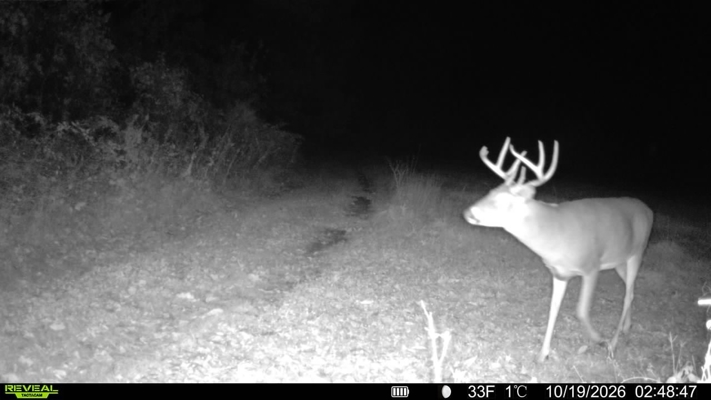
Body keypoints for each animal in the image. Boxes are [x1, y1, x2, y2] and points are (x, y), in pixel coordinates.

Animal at [463, 137, 653, 363]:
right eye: (490, 191)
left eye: (503, 200)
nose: (467, 212)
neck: (556, 235)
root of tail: (648, 209)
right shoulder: (559, 272)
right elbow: (553, 309)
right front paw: (542, 354)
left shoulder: (592, 265)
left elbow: (581, 311)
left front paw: (600, 340)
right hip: (619, 262)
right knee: (630, 290)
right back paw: (626, 328)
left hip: (637, 252)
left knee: (627, 295)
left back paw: (613, 343)